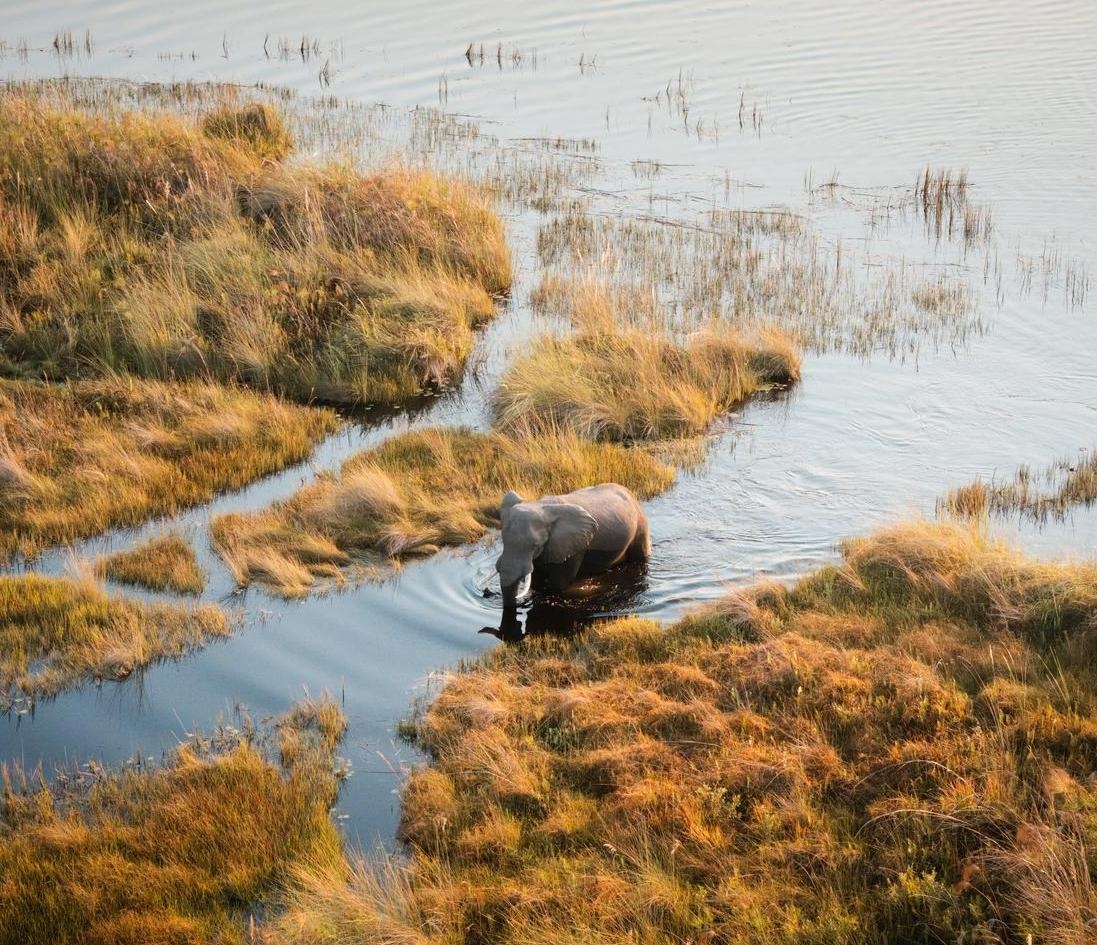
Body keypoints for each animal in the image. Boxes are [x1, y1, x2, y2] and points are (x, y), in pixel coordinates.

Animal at [486, 483, 651, 639]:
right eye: (503, 540)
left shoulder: (573, 548)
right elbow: (537, 581)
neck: (539, 507)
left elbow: (558, 585)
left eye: (534, 546)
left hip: (640, 525)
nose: (487, 593)